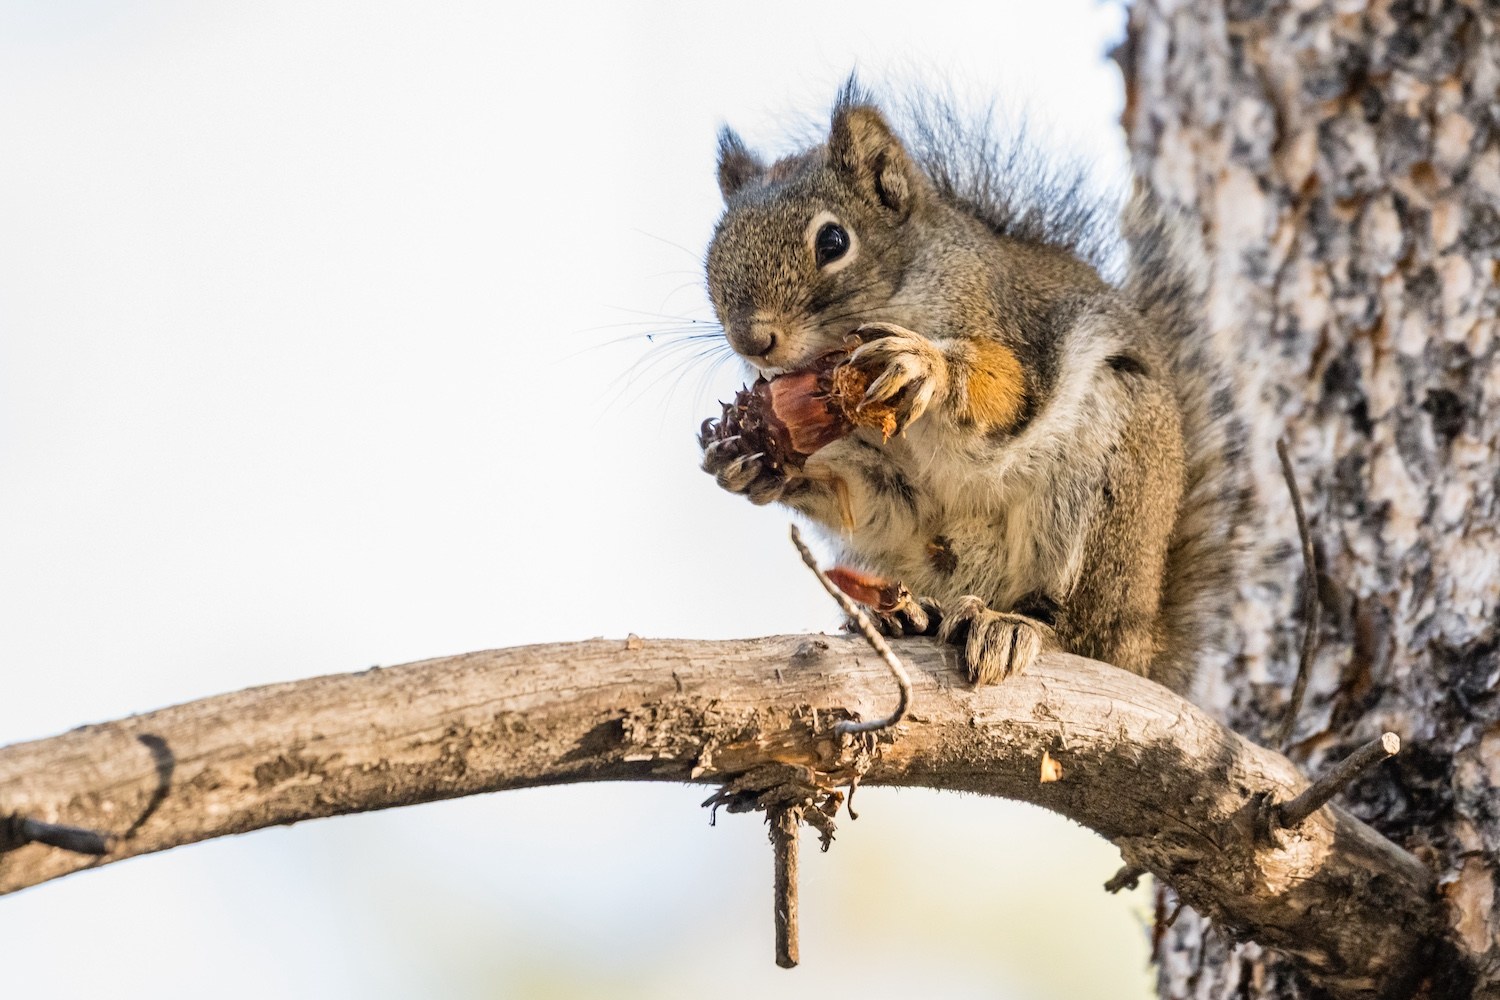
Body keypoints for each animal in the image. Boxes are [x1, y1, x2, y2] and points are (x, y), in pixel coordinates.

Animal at [698, 82, 1246, 693]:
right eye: (715, 249)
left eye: (834, 240)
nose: (753, 341)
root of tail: (1144, 647)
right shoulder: (879, 476)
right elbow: (864, 500)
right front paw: (747, 460)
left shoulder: (1000, 322)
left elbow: (1005, 391)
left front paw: (924, 364)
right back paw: (906, 616)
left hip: (1108, 474)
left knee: (1080, 630)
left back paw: (1014, 625)